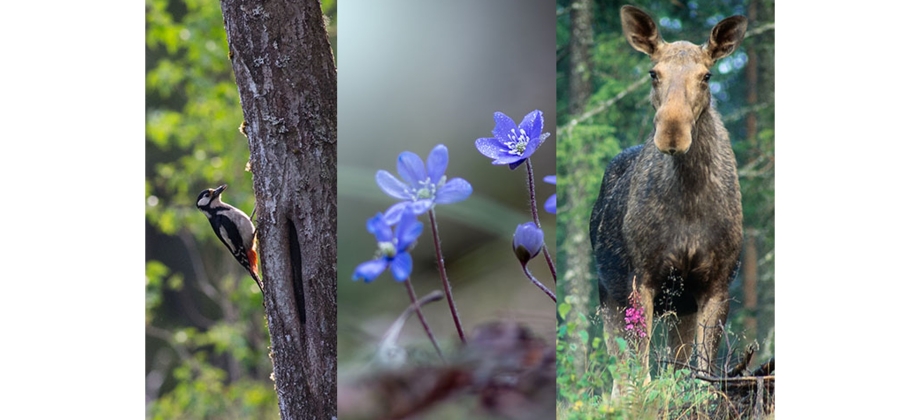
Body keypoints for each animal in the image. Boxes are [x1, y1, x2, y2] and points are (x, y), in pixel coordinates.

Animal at [588, 5, 748, 374]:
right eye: (653, 72)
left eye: (707, 75)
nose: (672, 133)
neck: (690, 197)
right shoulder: (641, 278)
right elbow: (643, 370)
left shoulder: (716, 284)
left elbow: (702, 373)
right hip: (608, 295)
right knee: (619, 375)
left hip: (680, 309)